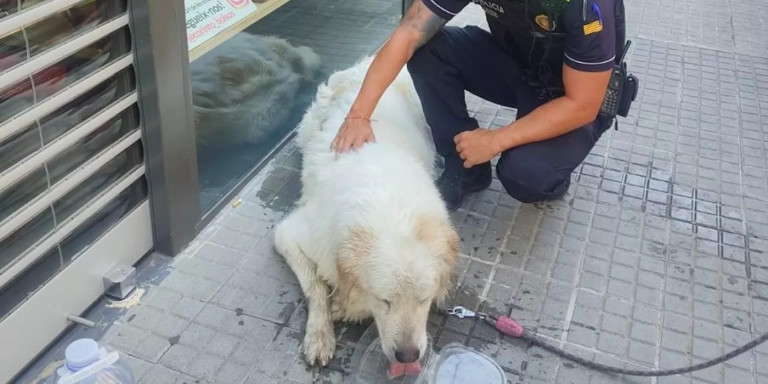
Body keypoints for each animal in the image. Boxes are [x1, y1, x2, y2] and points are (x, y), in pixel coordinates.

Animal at [274, 56, 460, 366]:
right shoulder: (291, 234)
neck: (391, 201)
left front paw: (343, 307)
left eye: (424, 299)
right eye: (385, 300)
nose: (408, 356)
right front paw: (320, 333)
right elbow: (315, 286)